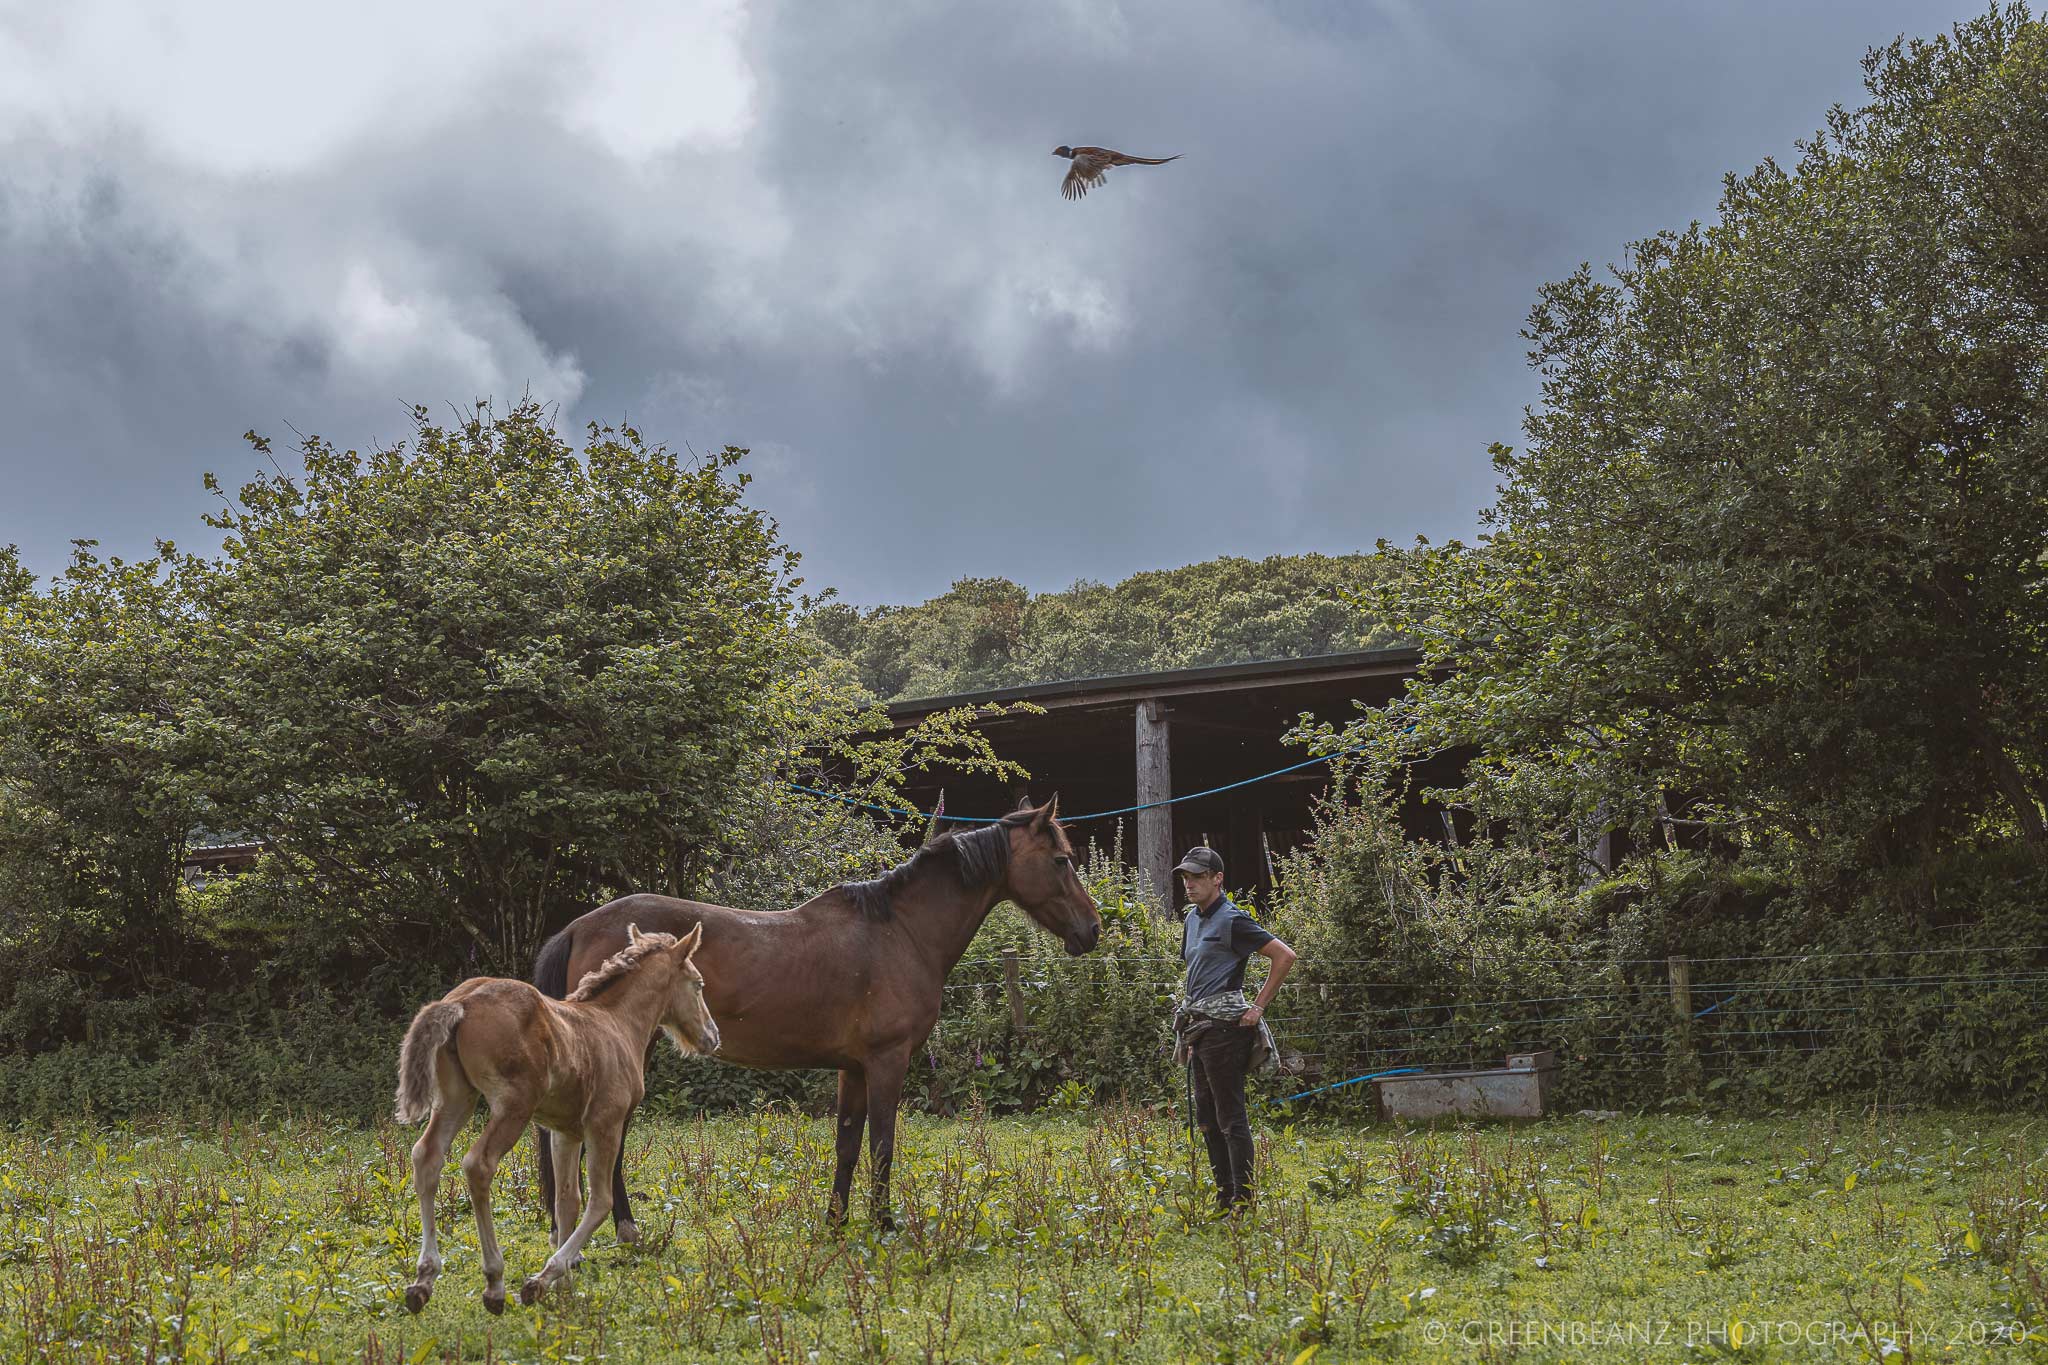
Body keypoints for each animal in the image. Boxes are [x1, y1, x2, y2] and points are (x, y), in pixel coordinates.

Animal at [393, 925, 720, 1317]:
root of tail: (463, 1002)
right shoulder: (605, 1124)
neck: (616, 1022)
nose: (713, 1037)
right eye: (698, 984)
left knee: (426, 1157)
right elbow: (600, 1200)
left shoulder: (564, 1132)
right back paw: (494, 1283)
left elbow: (568, 1201)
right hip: (512, 1107)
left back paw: (422, 1280)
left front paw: (564, 1286)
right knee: (478, 1165)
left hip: (456, 1099)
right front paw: (543, 1279)